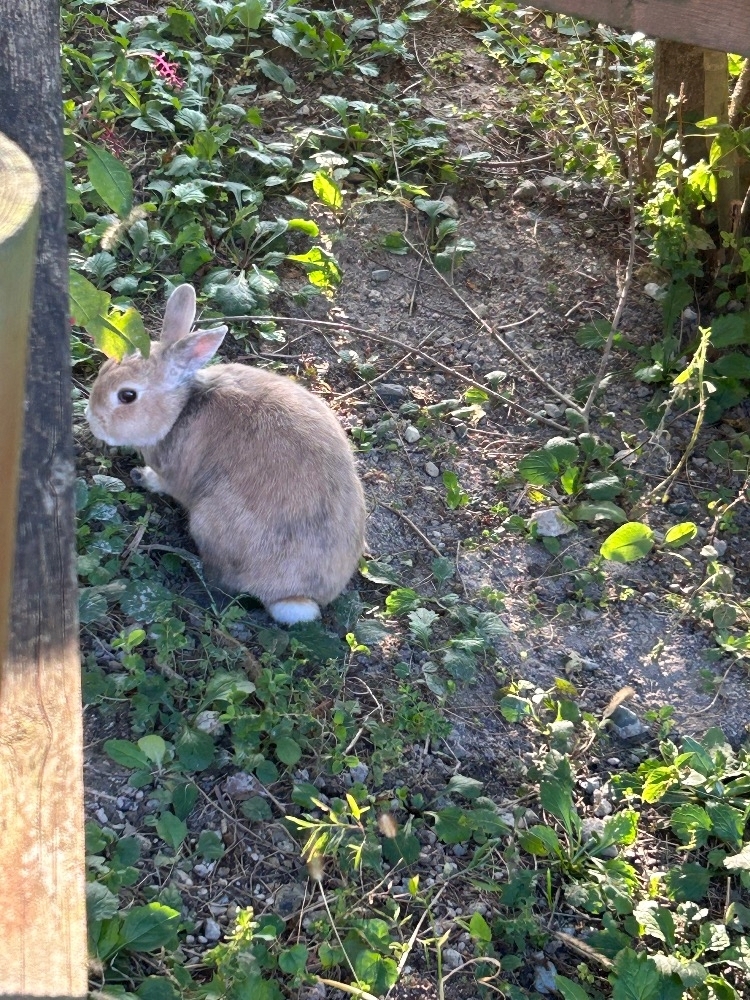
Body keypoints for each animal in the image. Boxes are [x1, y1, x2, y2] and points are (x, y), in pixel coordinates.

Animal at [86, 284, 368, 624]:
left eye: (127, 396)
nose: (92, 419)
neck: (181, 408)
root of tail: (298, 596)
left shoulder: (174, 476)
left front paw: (143, 476)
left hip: (207, 522)